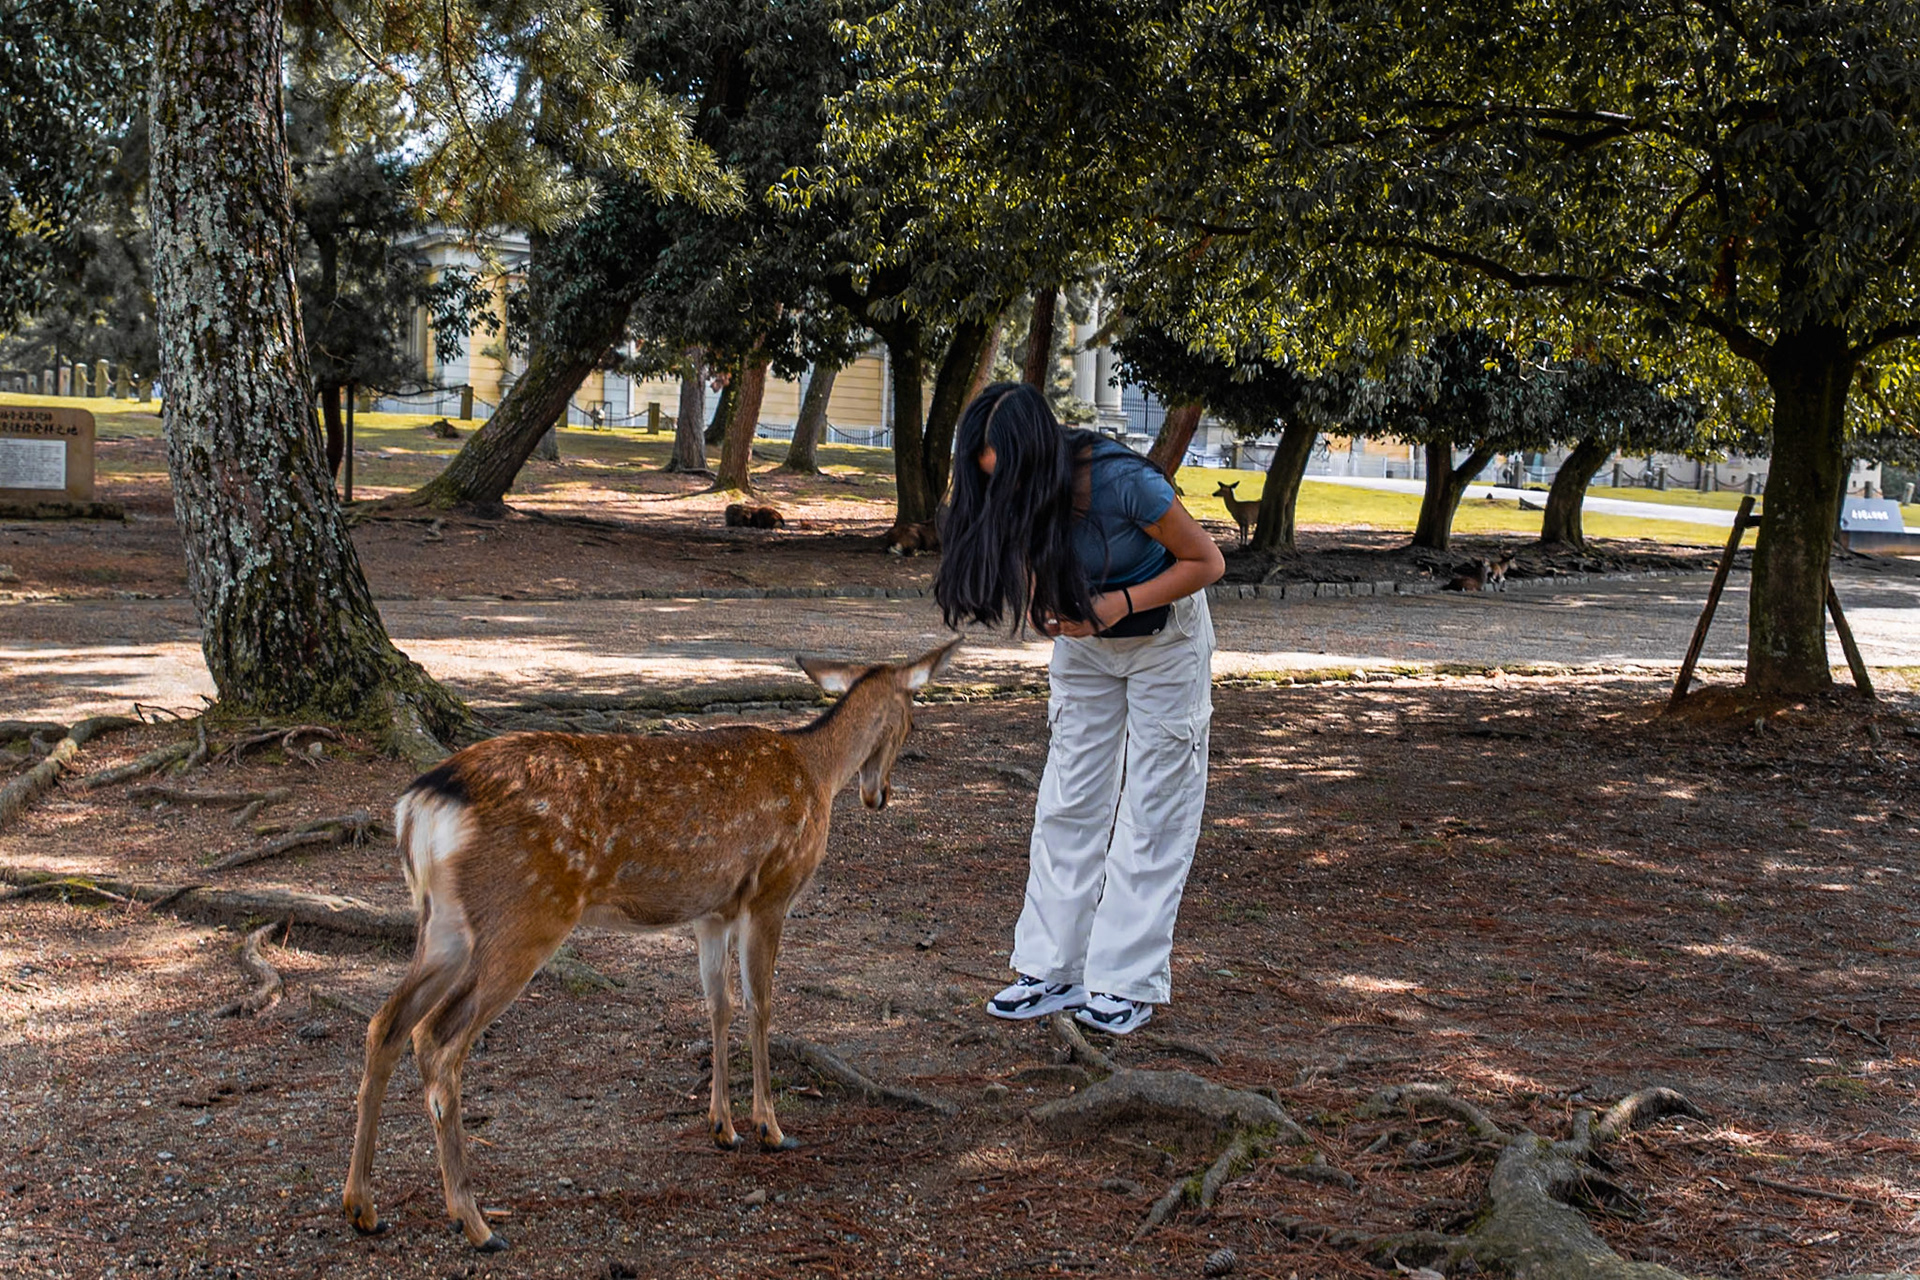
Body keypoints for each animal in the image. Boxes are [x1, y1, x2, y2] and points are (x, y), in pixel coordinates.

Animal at [342, 639, 960, 1252]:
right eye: (913, 719)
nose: (879, 795)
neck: (818, 769)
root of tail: (420, 804)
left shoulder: (712, 912)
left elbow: (718, 1005)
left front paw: (722, 1127)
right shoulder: (772, 891)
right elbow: (761, 1005)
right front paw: (770, 1127)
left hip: (443, 922)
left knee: (385, 1023)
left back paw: (362, 1207)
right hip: (526, 912)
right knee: (437, 1038)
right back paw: (473, 1221)